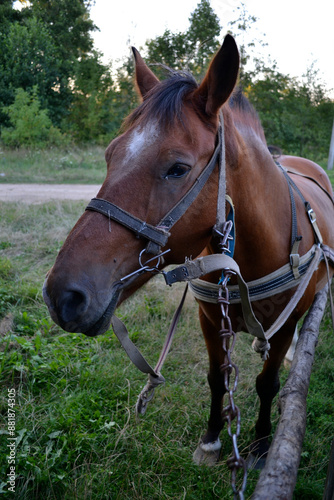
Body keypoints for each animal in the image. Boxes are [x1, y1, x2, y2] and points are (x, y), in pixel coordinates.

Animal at [42, 35, 334, 472]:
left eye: (177, 168)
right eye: (110, 156)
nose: (62, 295)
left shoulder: (282, 327)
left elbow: (266, 383)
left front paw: (261, 445)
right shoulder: (210, 320)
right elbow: (218, 379)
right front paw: (212, 440)